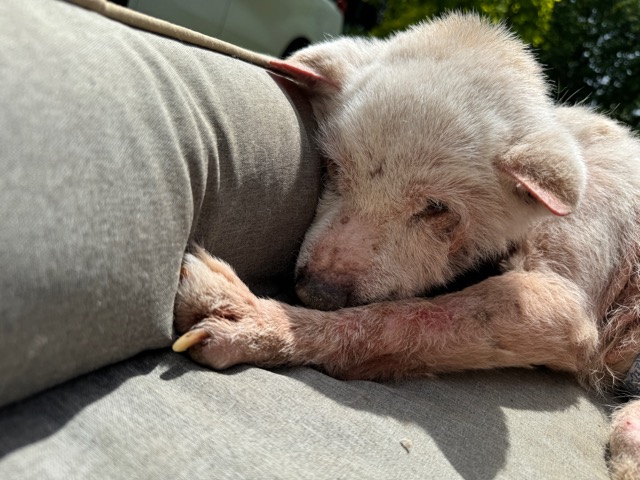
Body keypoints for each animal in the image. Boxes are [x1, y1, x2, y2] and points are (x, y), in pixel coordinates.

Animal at [172, 14, 640, 479]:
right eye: (333, 168)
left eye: (437, 208)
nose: (316, 293)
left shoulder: (565, 301)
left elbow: (402, 319)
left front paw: (259, 322)